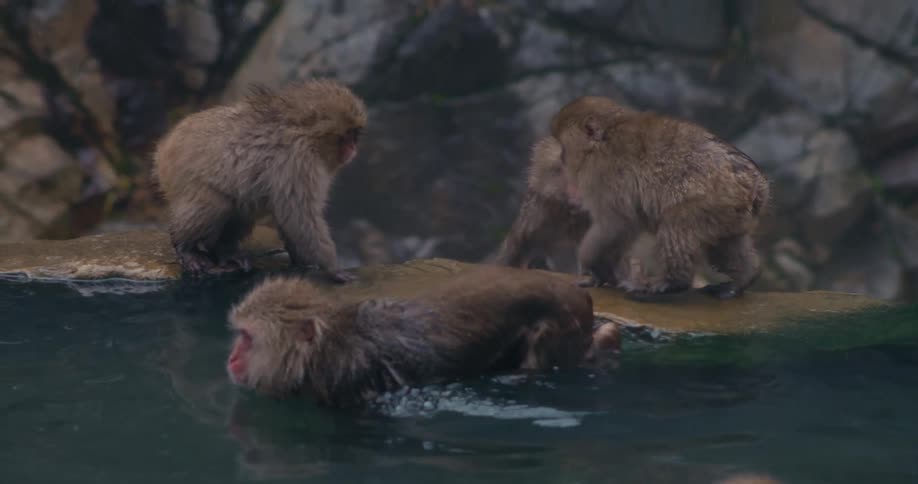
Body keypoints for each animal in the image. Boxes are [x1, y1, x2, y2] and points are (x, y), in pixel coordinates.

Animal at [153, 79, 367, 282]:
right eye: (348, 135)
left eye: (355, 135)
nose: (353, 149)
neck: (306, 134)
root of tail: (164, 147)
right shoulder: (298, 161)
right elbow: (299, 216)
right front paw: (332, 268)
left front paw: (303, 260)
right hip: (177, 176)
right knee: (216, 203)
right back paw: (185, 247)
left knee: (243, 207)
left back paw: (224, 251)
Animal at [225, 266, 617, 409]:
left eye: (247, 337)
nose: (231, 358)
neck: (329, 347)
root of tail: (576, 293)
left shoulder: (345, 383)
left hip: (558, 326)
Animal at [550, 96, 770, 300]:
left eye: (564, 147)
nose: (561, 158)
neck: (605, 136)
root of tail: (757, 184)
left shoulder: (601, 173)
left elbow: (616, 224)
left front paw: (596, 269)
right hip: (730, 212)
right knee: (728, 242)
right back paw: (743, 279)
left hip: (713, 201)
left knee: (677, 225)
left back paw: (671, 282)